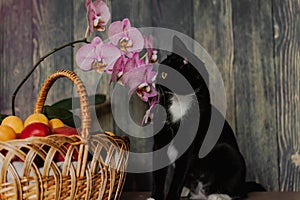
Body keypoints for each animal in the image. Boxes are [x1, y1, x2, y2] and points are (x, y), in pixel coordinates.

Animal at [149, 36, 264, 200]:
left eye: (164, 74)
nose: (153, 81)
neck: (180, 102)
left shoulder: (190, 145)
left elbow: (178, 176)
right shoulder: (160, 140)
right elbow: (158, 174)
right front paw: (154, 197)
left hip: (228, 152)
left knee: (240, 192)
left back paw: (218, 195)